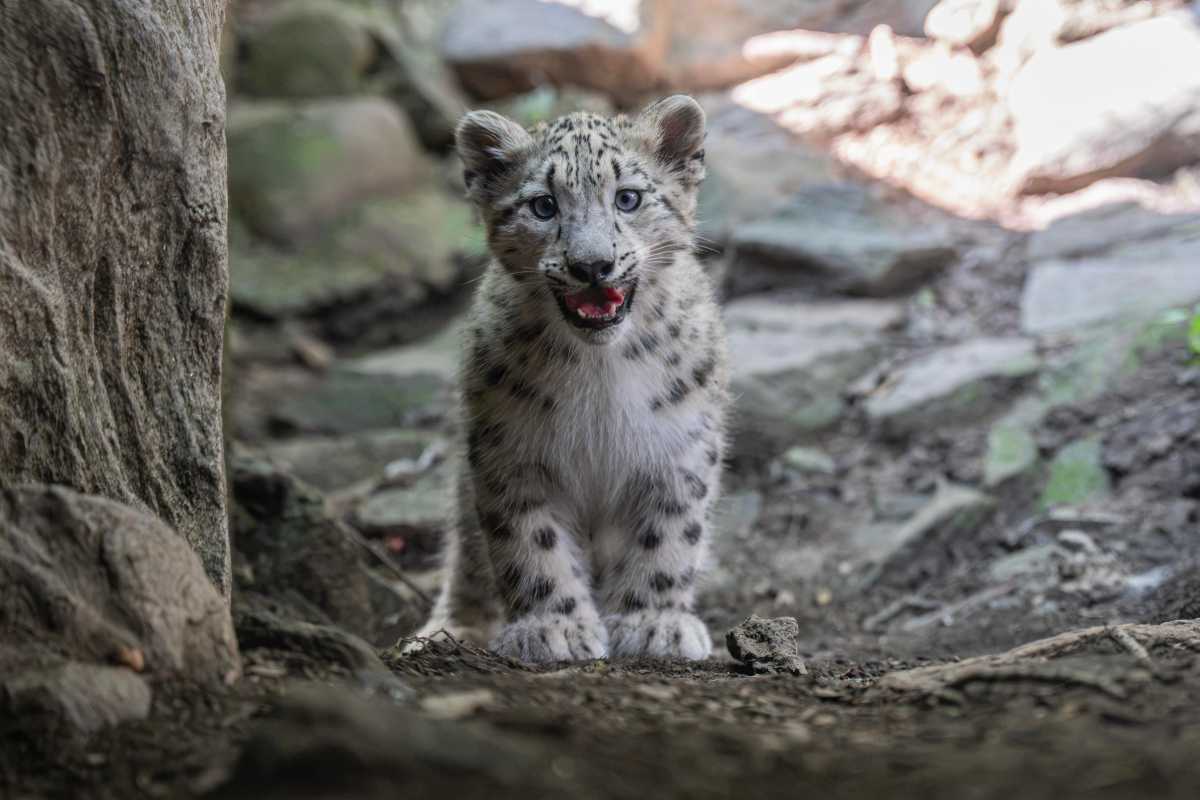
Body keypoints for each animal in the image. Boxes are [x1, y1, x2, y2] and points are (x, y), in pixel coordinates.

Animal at [415, 95, 729, 663]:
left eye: (628, 198)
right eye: (543, 205)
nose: (593, 265)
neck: (600, 373)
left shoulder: (679, 446)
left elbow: (669, 535)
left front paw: (654, 622)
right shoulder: (512, 451)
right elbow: (529, 542)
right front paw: (554, 628)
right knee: (466, 555)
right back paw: (450, 630)